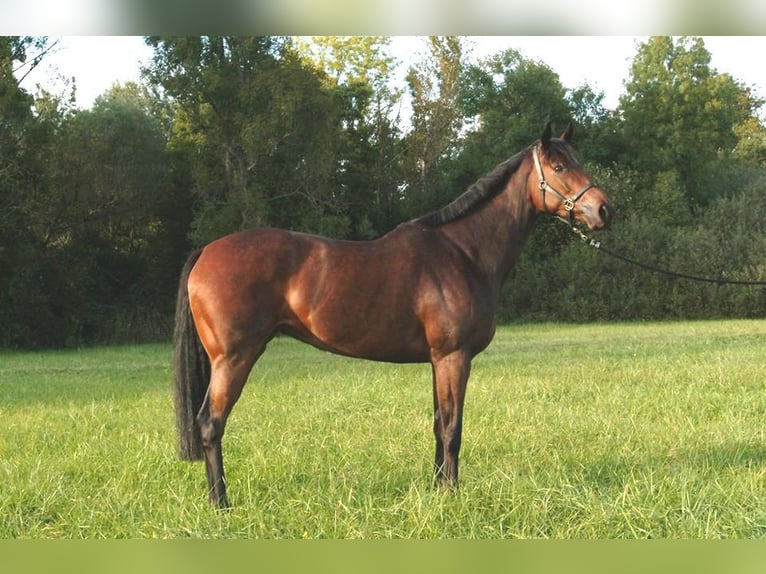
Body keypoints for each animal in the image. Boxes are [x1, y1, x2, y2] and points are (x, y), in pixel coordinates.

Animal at [173, 122, 614, 507]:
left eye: (577, 160)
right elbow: (453, 430)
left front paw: (437, 490)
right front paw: (452, 496)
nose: (604, 210)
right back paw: (220, 502)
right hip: (234, 359)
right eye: (559, 167)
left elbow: (438, 425)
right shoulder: (455, 358)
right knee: (211, 424)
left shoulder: (439, 360)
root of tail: (206, 251)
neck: (464, 252)